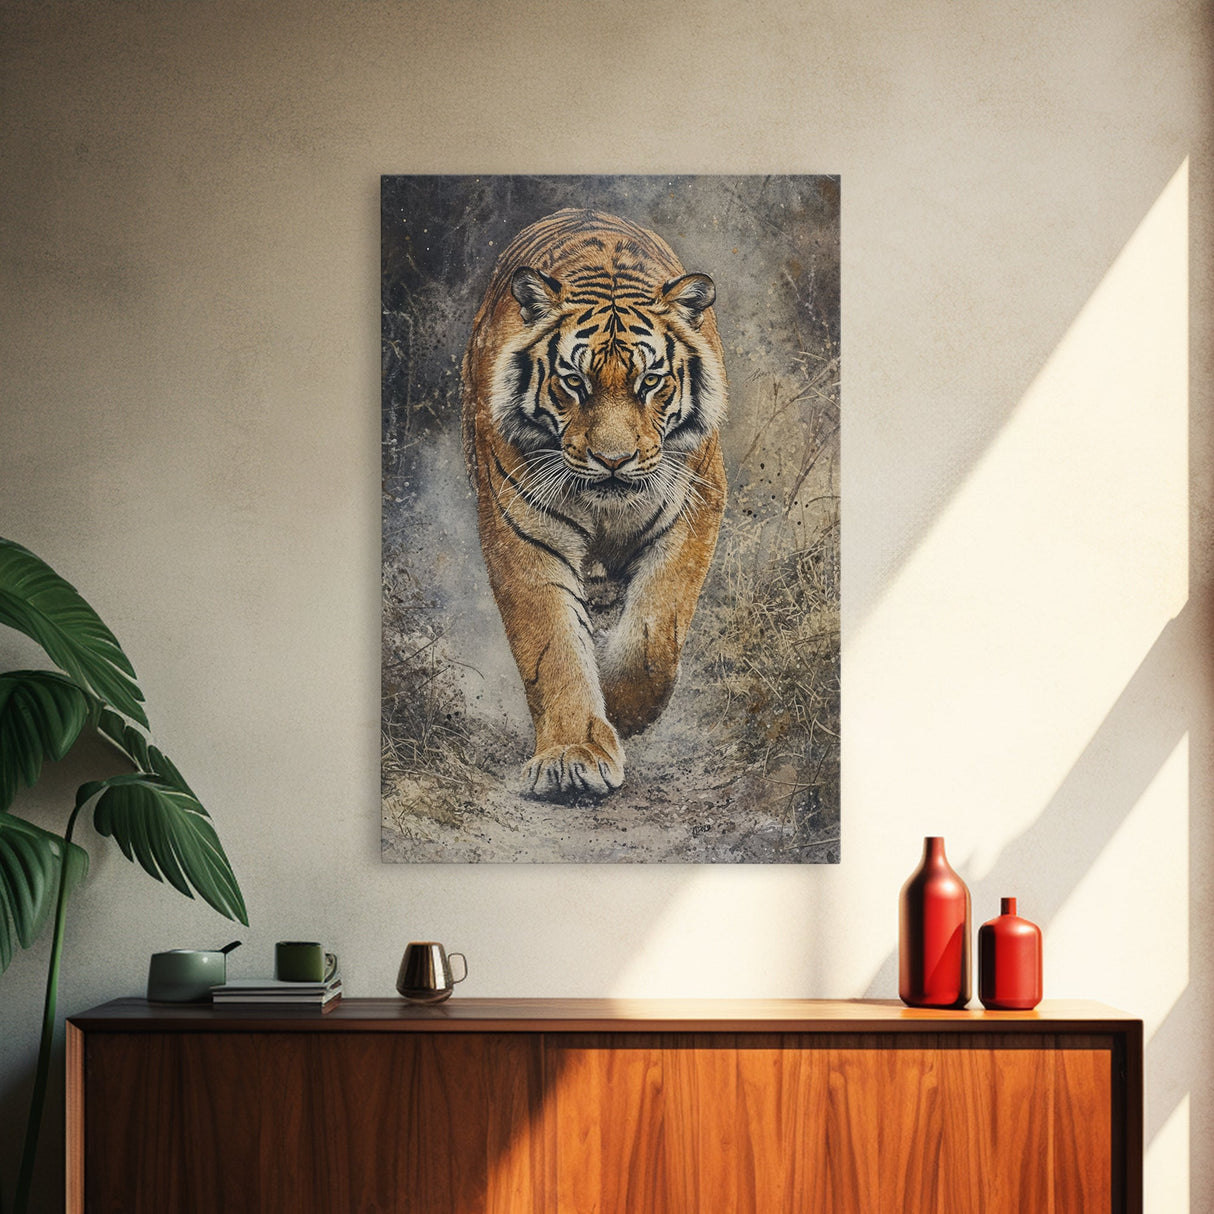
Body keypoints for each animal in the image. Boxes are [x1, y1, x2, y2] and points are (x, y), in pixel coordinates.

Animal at [461, 208, 727, 798]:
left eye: (650, 381)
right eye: (573, 382)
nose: (613, 459)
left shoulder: (693, 509)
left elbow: (654, 635)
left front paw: (625, 712)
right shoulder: (523, 531)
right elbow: (553, 646)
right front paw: (571, 757)